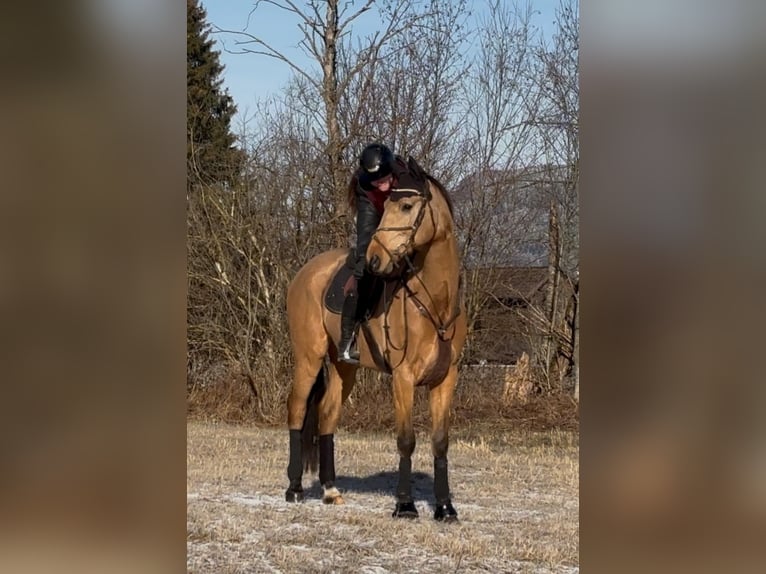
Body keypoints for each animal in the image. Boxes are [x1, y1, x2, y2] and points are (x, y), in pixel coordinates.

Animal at [284, 156, 468, 520]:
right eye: (388, 206)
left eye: (407, 205)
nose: (374, 259)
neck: (436, 303)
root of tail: (306, 271)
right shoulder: (403, 377)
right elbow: (406, 440)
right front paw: (405, 505)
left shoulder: (446, 379)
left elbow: (440, 442)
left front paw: (444, 508)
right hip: (308, 358)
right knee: (297, 410)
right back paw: (295, 488)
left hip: (344, 368)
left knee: (327, 416)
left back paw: (330, 490)